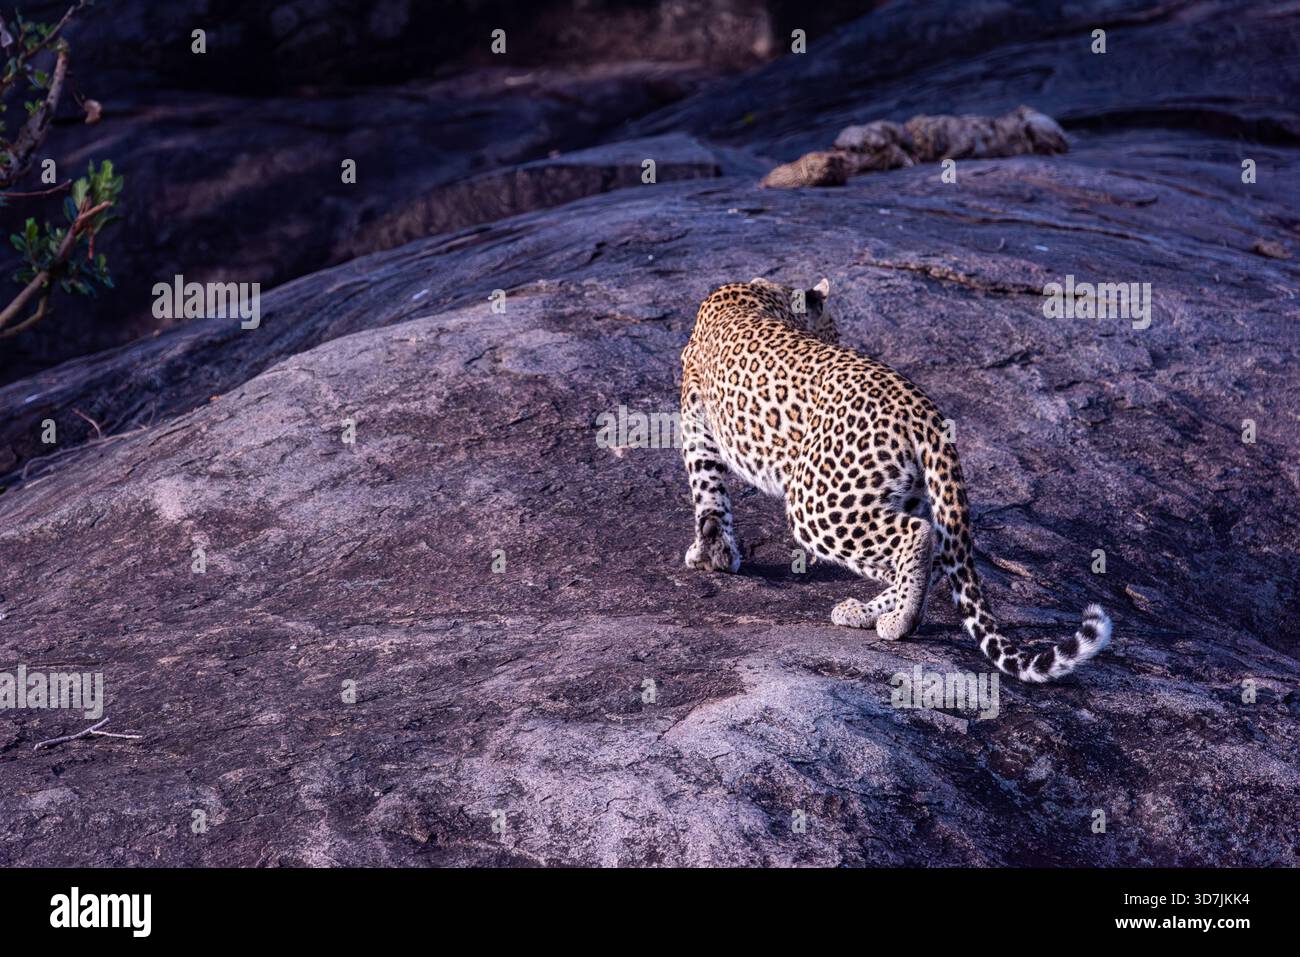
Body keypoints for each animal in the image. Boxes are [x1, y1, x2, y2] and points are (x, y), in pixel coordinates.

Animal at [679, 276, 1111, 683]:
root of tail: (923, 410)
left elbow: (708, 492)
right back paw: (870, 612)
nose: (837, 337)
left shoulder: (695, 425)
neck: (765, 296)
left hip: (818, 501)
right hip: (902, 493)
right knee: (931, 556)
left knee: (916, 537)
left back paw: (899, 623)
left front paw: (711, 556)